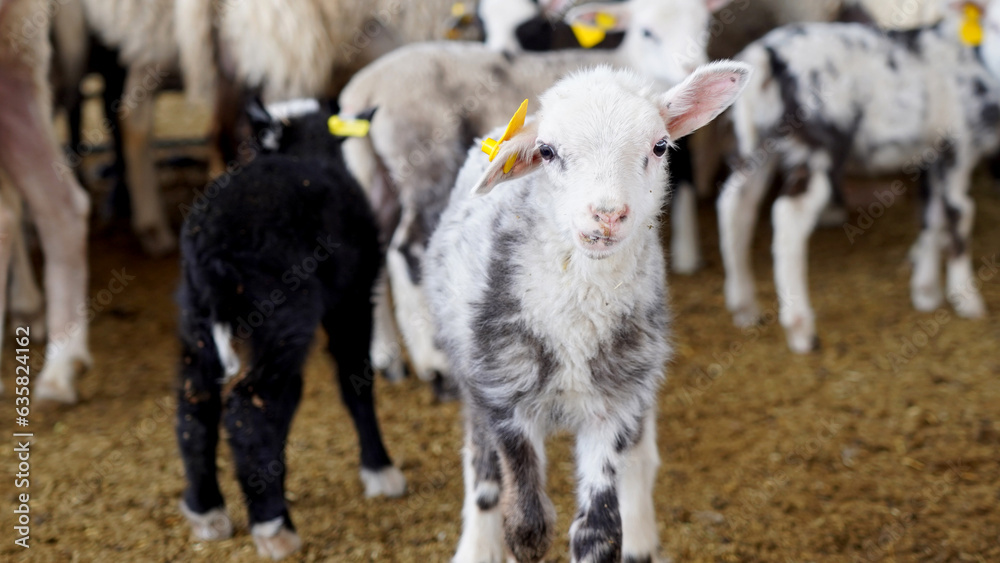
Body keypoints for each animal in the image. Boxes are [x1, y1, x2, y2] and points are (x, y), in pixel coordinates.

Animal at [175, 99, 404, 560]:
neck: (305, 153)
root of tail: (211, 251)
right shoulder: (353, 300)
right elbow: (356, 382)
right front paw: (380, 470)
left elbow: (291, 401)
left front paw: (270, 480)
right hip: (281, 314)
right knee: (248, 410)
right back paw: (273, 526)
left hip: (201, 320)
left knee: (198, 404)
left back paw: (207, 510)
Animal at [339, 0, 739, 387]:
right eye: (647, 31)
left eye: (705, 25)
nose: (690, 64)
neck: (631, 60)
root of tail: (362, 90)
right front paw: (688, 256)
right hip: (425, 164)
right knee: (406, 250)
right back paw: (431, 362)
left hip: (374, 175)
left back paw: (385, 357)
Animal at [425, 63, 750, 563]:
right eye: (546, 151)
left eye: (659, 146)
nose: (607, 214)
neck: (578, 318)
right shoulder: (501, 392)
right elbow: (528, 526)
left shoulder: (616, 403)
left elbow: (599, 532)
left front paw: (623, 535)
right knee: (482, 472)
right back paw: (476, 546)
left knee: (641, 458)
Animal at [716, 0, 999, 354]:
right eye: (994, 24)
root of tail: (765, 55)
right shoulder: (958, 147)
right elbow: (959, 214)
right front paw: (966, 298)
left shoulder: (931, 154)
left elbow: (931, 215)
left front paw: (926, 290)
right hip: (818, 143)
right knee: (788, 217)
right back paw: (800, 328)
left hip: (758, 146)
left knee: (735, 206)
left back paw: (744, 306)